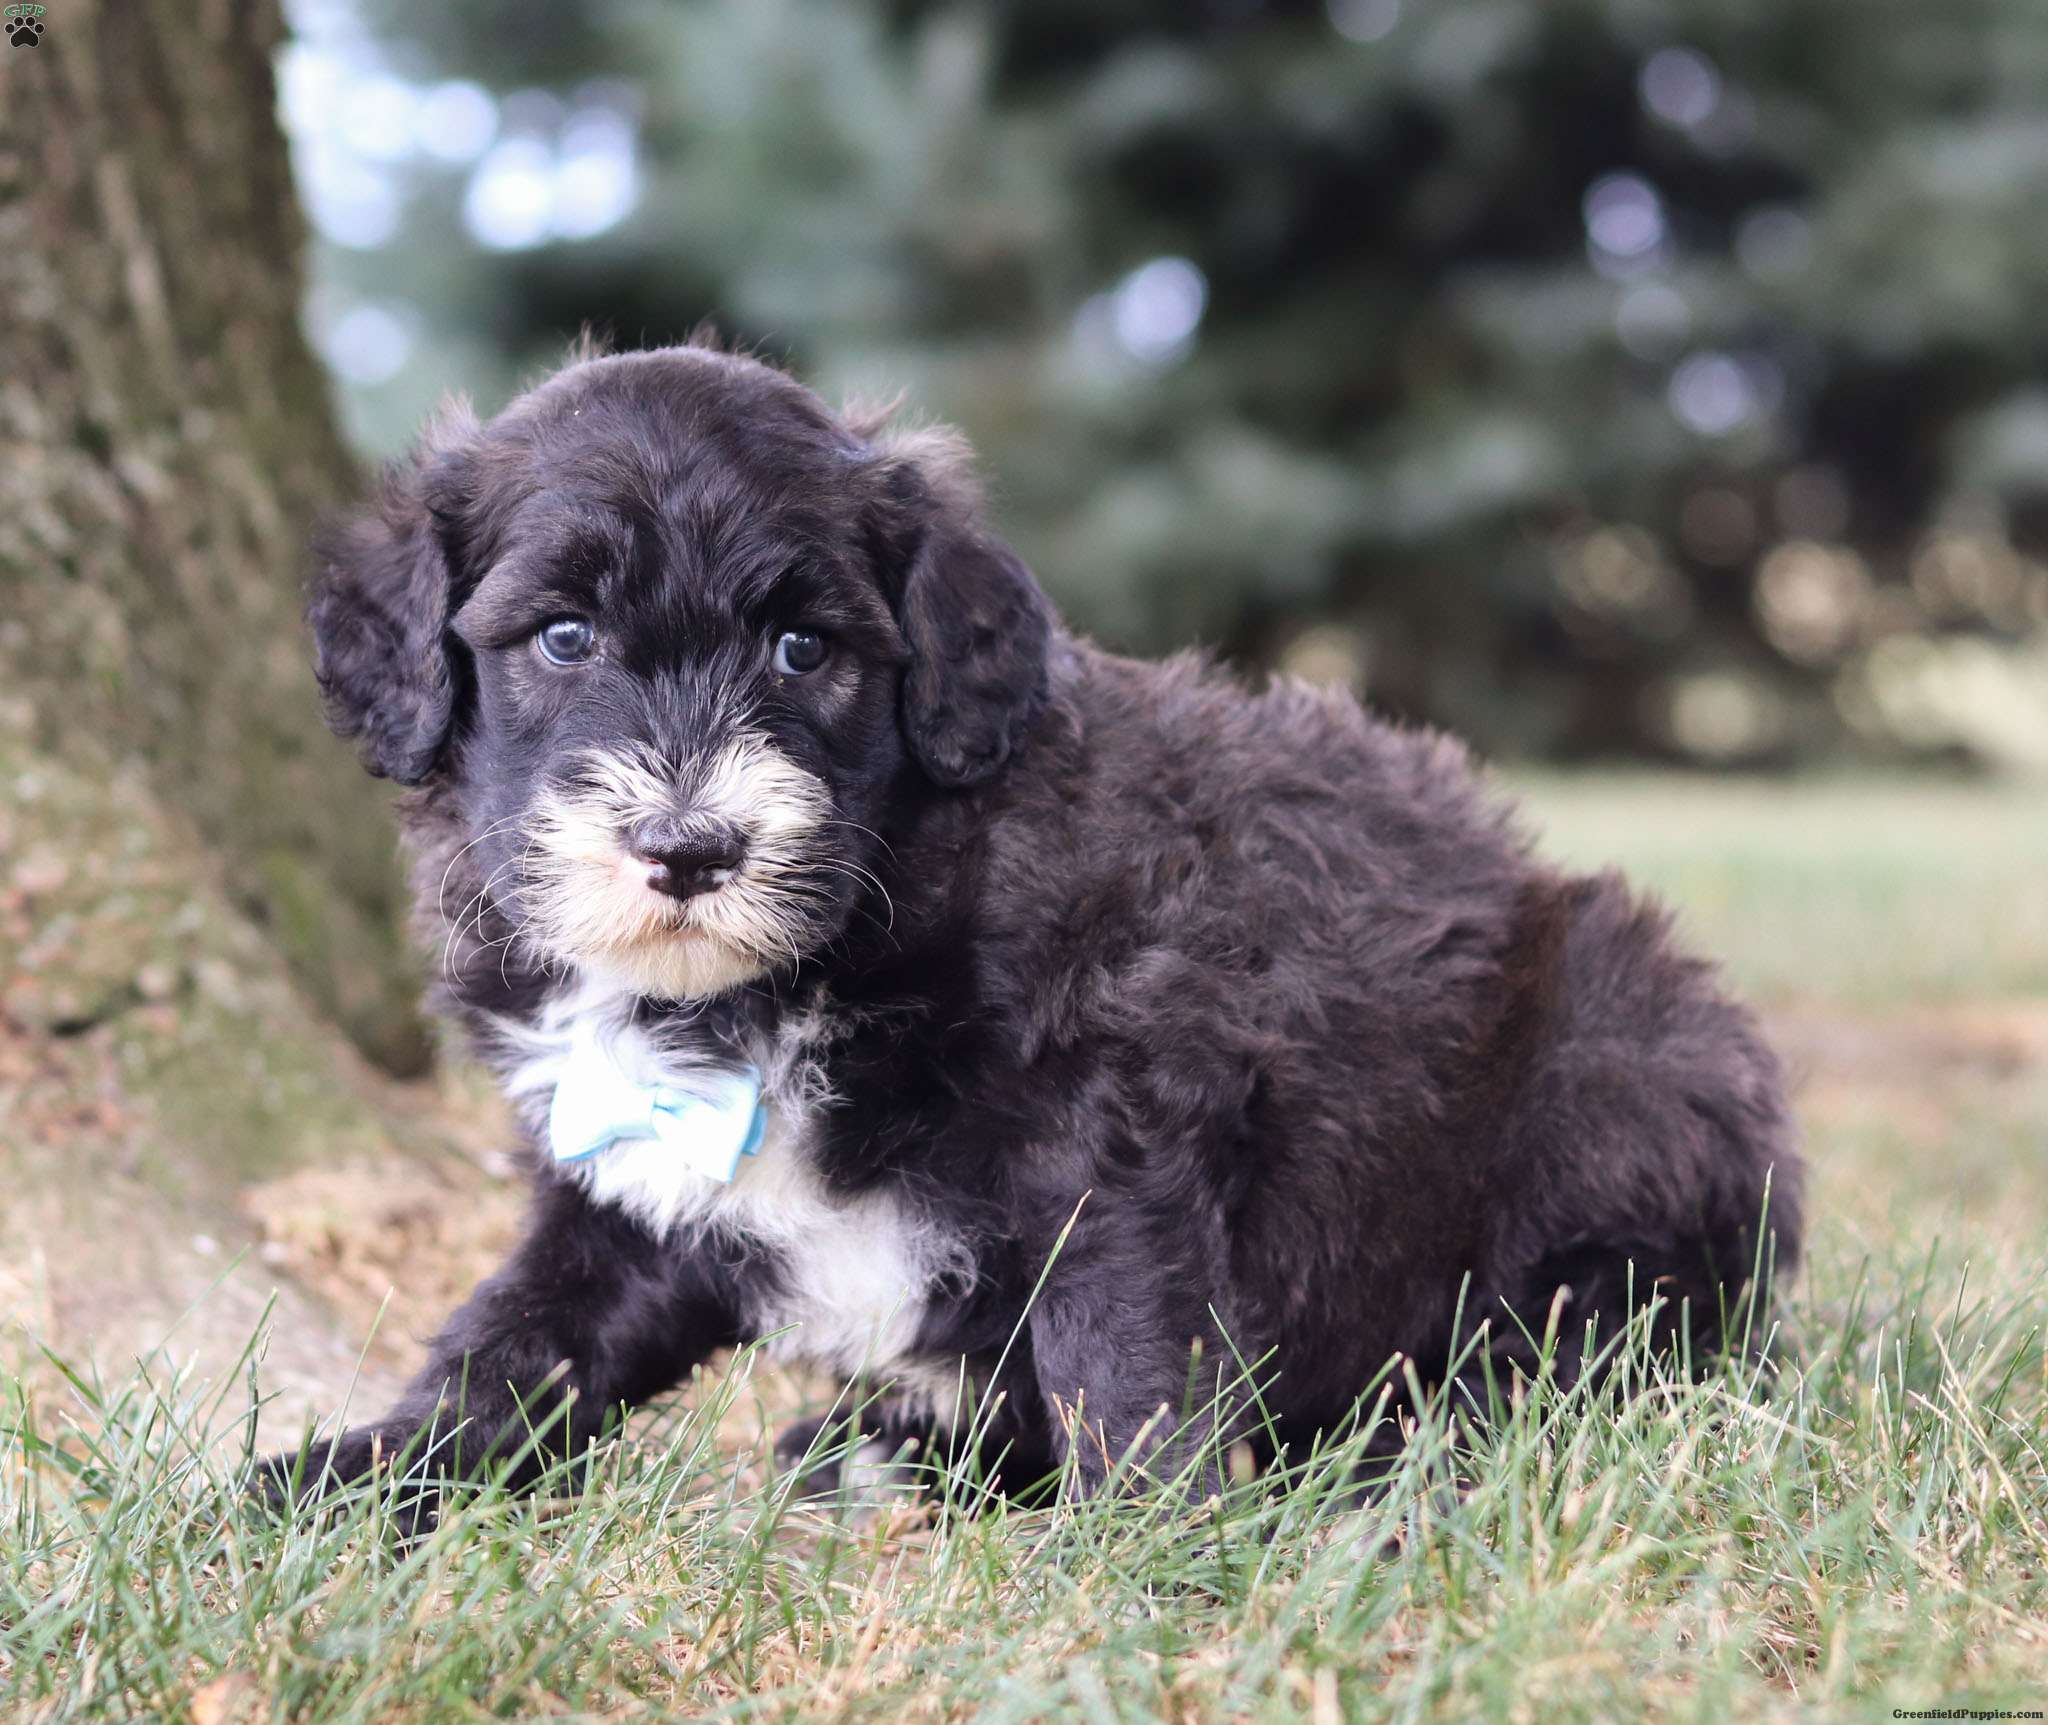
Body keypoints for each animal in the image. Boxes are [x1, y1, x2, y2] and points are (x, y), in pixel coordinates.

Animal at [284, 342, 1794, 1499]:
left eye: (803, 650)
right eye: (563, 639)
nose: (689, 846)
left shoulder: (1107, 1128)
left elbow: (1123, 1361)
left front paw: (1163, 1562)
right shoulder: (626, 1191)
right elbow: (522, 1339)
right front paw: (355, 1474)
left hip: (1625, 1065)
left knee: (1578, 1340)